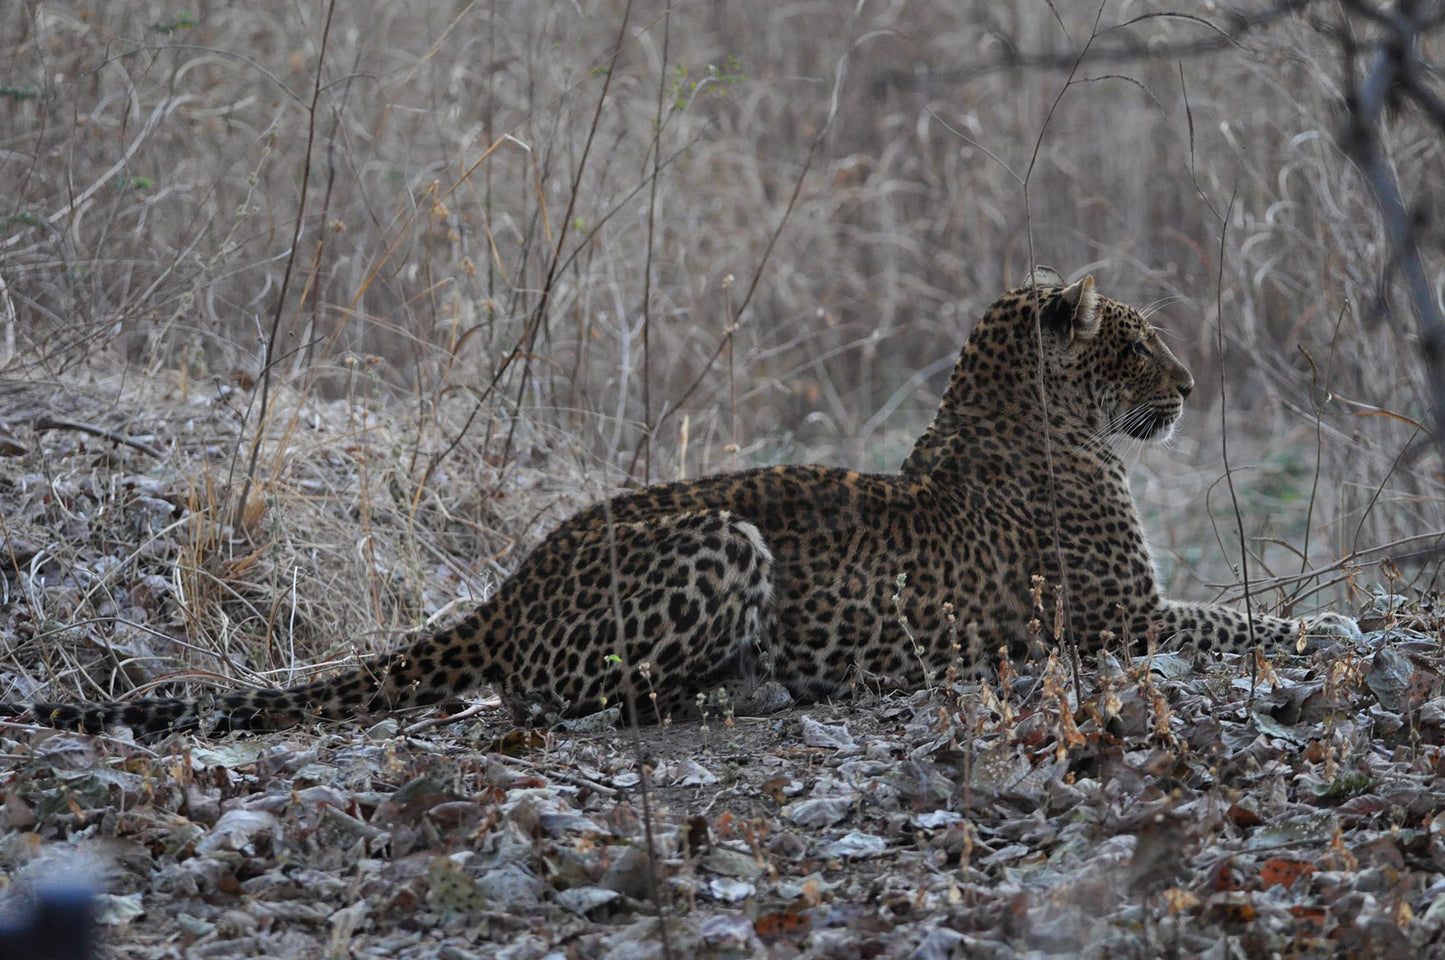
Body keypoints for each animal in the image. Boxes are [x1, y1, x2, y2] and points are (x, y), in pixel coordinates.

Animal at [0, 270, 1352, 734]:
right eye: (1133, 346)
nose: (1187, 387)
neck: (1021, 412)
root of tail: (513, 582)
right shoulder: (1121, 619)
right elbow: (1234, 618)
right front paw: (1325, 628)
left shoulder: (1130, 614)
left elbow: (1231, 612)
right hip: (724, 538)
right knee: (565, 701)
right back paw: (747, 690)